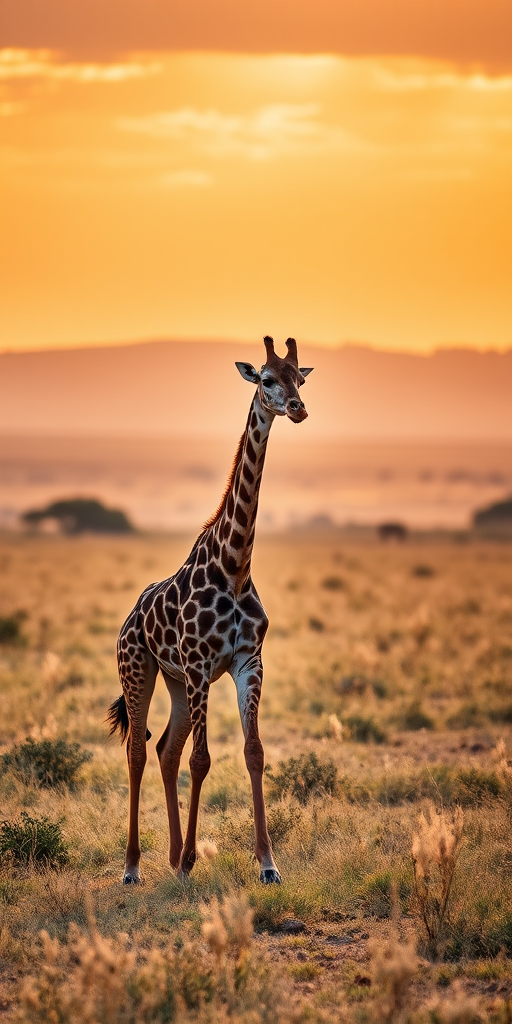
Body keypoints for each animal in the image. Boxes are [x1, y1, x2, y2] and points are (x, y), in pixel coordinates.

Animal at [107, 336, 313, 885]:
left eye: (299, 378)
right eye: (266, 378)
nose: (298, 408)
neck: (234, 564)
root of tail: (129, 619)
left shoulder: (248, 662)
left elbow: (253, 752)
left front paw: (267, 864)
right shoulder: (202, 664)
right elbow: (202, 760)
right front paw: (192, 861)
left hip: (176, 681)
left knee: (165, 750)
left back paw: (172, 854)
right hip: (140, 669)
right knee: (139, 750)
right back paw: (133, 867)